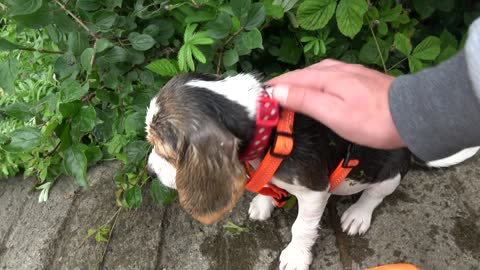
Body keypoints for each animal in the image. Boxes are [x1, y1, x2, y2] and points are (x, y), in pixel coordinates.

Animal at [144, 73, 478, 270]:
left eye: (165, 152)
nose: (149, 171)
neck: (268, 128)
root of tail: (408, 146)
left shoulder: (315, 190)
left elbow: (302, 227)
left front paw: (296, 255)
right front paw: (264, 201)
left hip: (390, 171)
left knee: (375, 196)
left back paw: (358, 214)